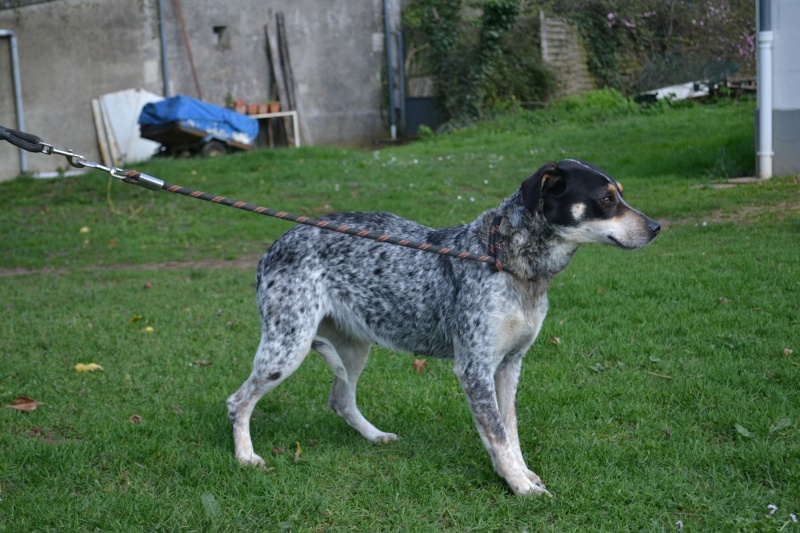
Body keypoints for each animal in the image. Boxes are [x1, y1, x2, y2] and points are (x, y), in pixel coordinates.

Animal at [223, 158, 656, 494]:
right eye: (606, 199)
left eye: (619, 194)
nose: (656, 227)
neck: (506, 260)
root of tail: (274, 245)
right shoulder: (475, 369)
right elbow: (498, 435)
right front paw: (520, 487)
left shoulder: (510, 365)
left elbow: (509, 431)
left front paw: (519, 474)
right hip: (287, 348)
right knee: (237, 402)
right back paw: (245, 457)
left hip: (353, 348)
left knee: (341, 400)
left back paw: (375, 436)